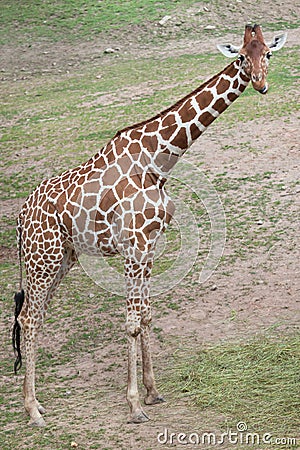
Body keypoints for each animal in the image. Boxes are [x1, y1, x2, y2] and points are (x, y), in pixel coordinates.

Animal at [12, 24, 288, 426]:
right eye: (240, 56)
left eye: (267, 53)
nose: (260, 84)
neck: (158, 163)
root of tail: (19, 218)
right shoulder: (134, 245)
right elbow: (131, 321)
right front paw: (134, 405)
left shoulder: (150, 245)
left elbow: (145, 315)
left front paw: (153, 391)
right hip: (42, 259)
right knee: (29, 319)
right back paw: (33, 410)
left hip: (61, 258)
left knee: (33, 315)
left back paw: (38, 404)